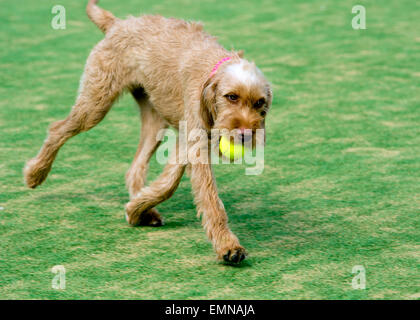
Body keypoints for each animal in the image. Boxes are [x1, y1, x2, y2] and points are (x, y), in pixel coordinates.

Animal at [24, 1, 272, 264]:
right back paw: (35, 174)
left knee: (135, 168)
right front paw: (228, 245)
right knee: (57, 129)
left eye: (259, 103)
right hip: (95, 105)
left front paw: (135, 209)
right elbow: (205, 197)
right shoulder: (195, 142)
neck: (213, 68)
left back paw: (143, 211)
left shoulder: (188, 141)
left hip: (155, 122)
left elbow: (167, 183)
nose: (246, 133)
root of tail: (118, 23)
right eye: (231, 97)